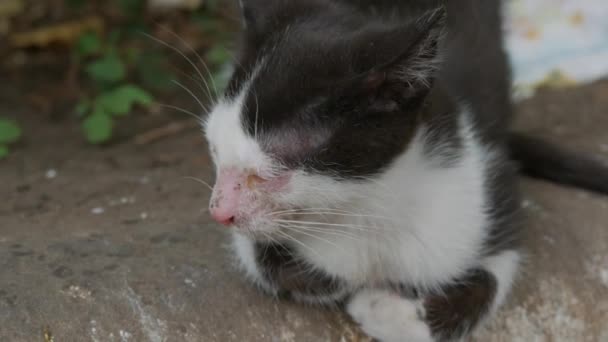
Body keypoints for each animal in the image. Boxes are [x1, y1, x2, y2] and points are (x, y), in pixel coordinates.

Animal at [203, 1, 608, 340]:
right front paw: (341, 282)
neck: (365, 203)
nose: (218, 213)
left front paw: (388, 310)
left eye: (270, 169)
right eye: (214, 149)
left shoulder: (489, 181)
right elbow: (268, 256)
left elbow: (493, 271)